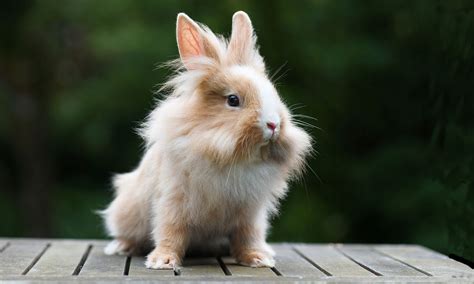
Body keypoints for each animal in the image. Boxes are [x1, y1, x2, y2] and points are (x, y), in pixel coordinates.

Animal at [102, 10, 312, 268]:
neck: (233, 158)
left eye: (274, 94)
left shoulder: (250, 213)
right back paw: (120, 247)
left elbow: (248, 236)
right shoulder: (173, 201)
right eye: (233, 100)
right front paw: (163, 261)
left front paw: (257, 258)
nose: (273, 125)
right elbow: (170, 231)